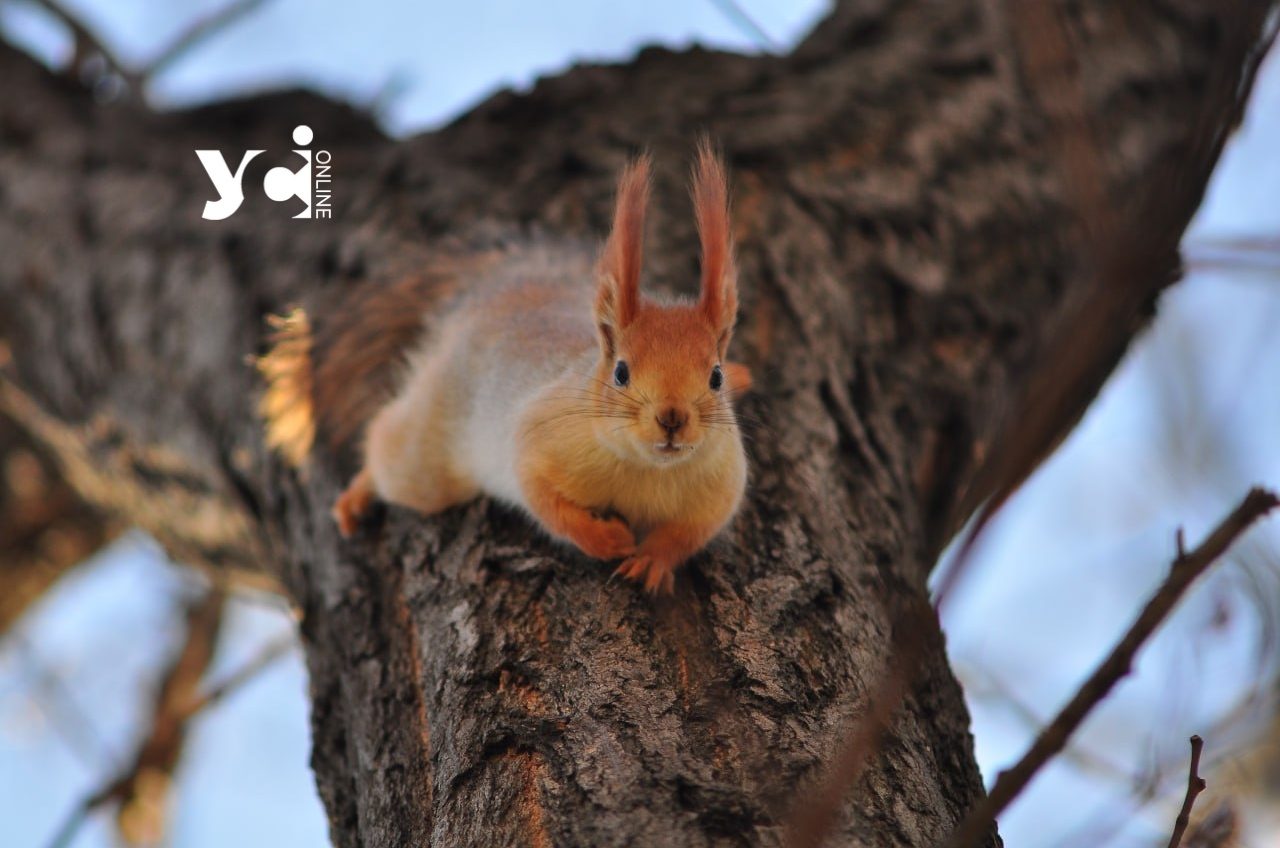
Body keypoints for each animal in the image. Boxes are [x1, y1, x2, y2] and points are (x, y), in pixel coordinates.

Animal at [264, 146, 752, 594]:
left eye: (715, 376)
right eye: (620, 372)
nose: (672, 419)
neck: (648, 469)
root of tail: (496, 294)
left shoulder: (721, 487)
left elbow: (689, 532)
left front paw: (652, 559)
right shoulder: (538, 437)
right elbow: (546, 501)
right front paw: (605, 538)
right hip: (427, 462)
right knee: (386, 446)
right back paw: (357, 495)